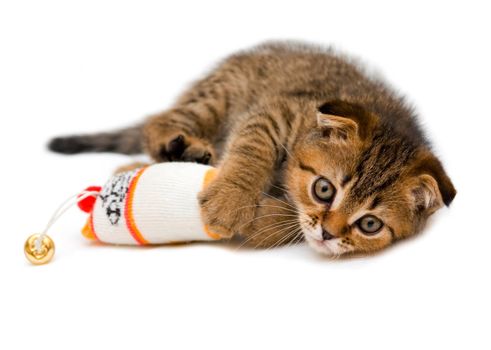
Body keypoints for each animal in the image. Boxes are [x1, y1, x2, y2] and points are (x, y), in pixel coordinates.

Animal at [48, 41, 456, 258]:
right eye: (324, 189)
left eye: (370, 225)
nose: (328, 234)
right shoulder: (276, 111)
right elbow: (250, 149)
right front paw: (231, 202)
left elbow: (286, 223)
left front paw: (264, 221)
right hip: (219, 95)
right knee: (159, 123)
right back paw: (177, 150)